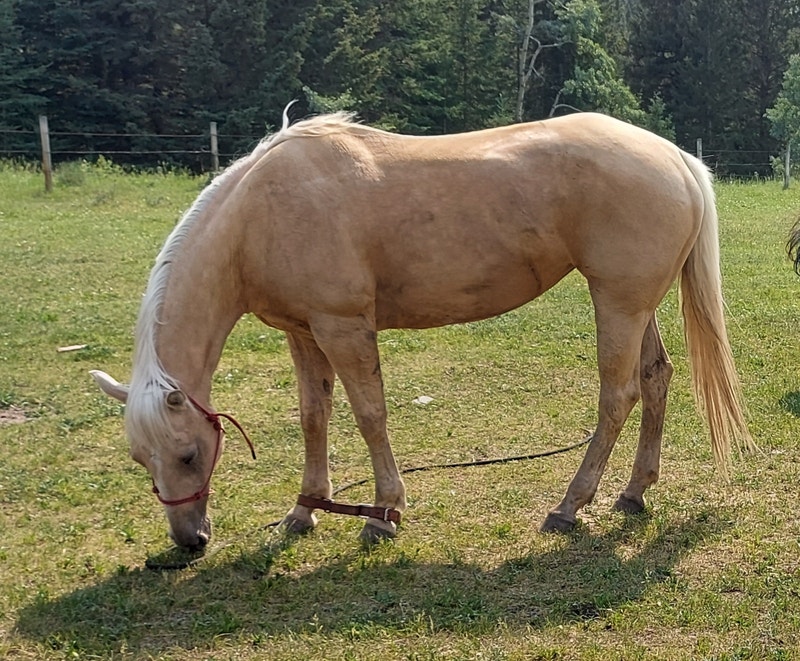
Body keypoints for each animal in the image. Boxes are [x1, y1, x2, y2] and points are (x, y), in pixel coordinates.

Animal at [91, 109, 752, 550]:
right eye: (139, 457)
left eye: (187, 453)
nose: (188, 542)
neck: (258, 216)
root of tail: (676, 158)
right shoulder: (302, 334)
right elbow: (313, 417)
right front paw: (305, 510)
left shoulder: (343, 328)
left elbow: (370, 415)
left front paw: (383, 513)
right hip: (636, 305)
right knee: (656, 378)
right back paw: (634, 493)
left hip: (616, 303)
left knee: (618, 396)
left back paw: (569, 506)